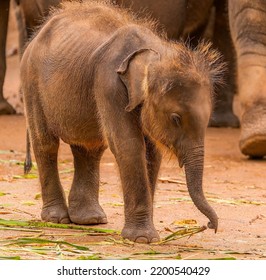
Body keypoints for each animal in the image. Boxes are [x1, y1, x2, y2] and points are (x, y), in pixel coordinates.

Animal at [20, 0, 222, 243]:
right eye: (176, 119)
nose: (210, 226)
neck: (156, 52)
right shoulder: (109, 84)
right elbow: (129, 146)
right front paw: (143, 239)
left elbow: (152, 153)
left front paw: (145, 235)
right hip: (31, 81)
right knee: (46, 143)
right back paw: (57, 219)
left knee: (89, 148)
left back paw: (90, 220)